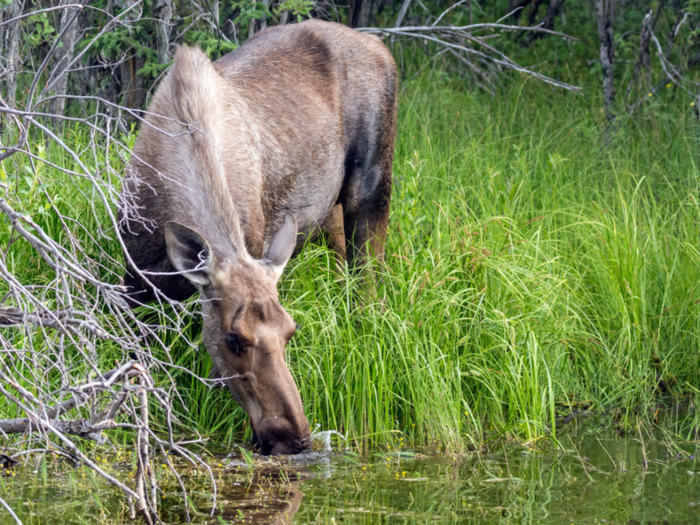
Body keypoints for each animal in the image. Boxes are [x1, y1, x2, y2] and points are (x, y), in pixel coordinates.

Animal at [117, 20, 396, 454]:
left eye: (290, 331)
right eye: (233, 339)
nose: (293, 435)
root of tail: (380, 44)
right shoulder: (134, 283)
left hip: (372, 189)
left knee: (369, 287)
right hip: (330, 217)